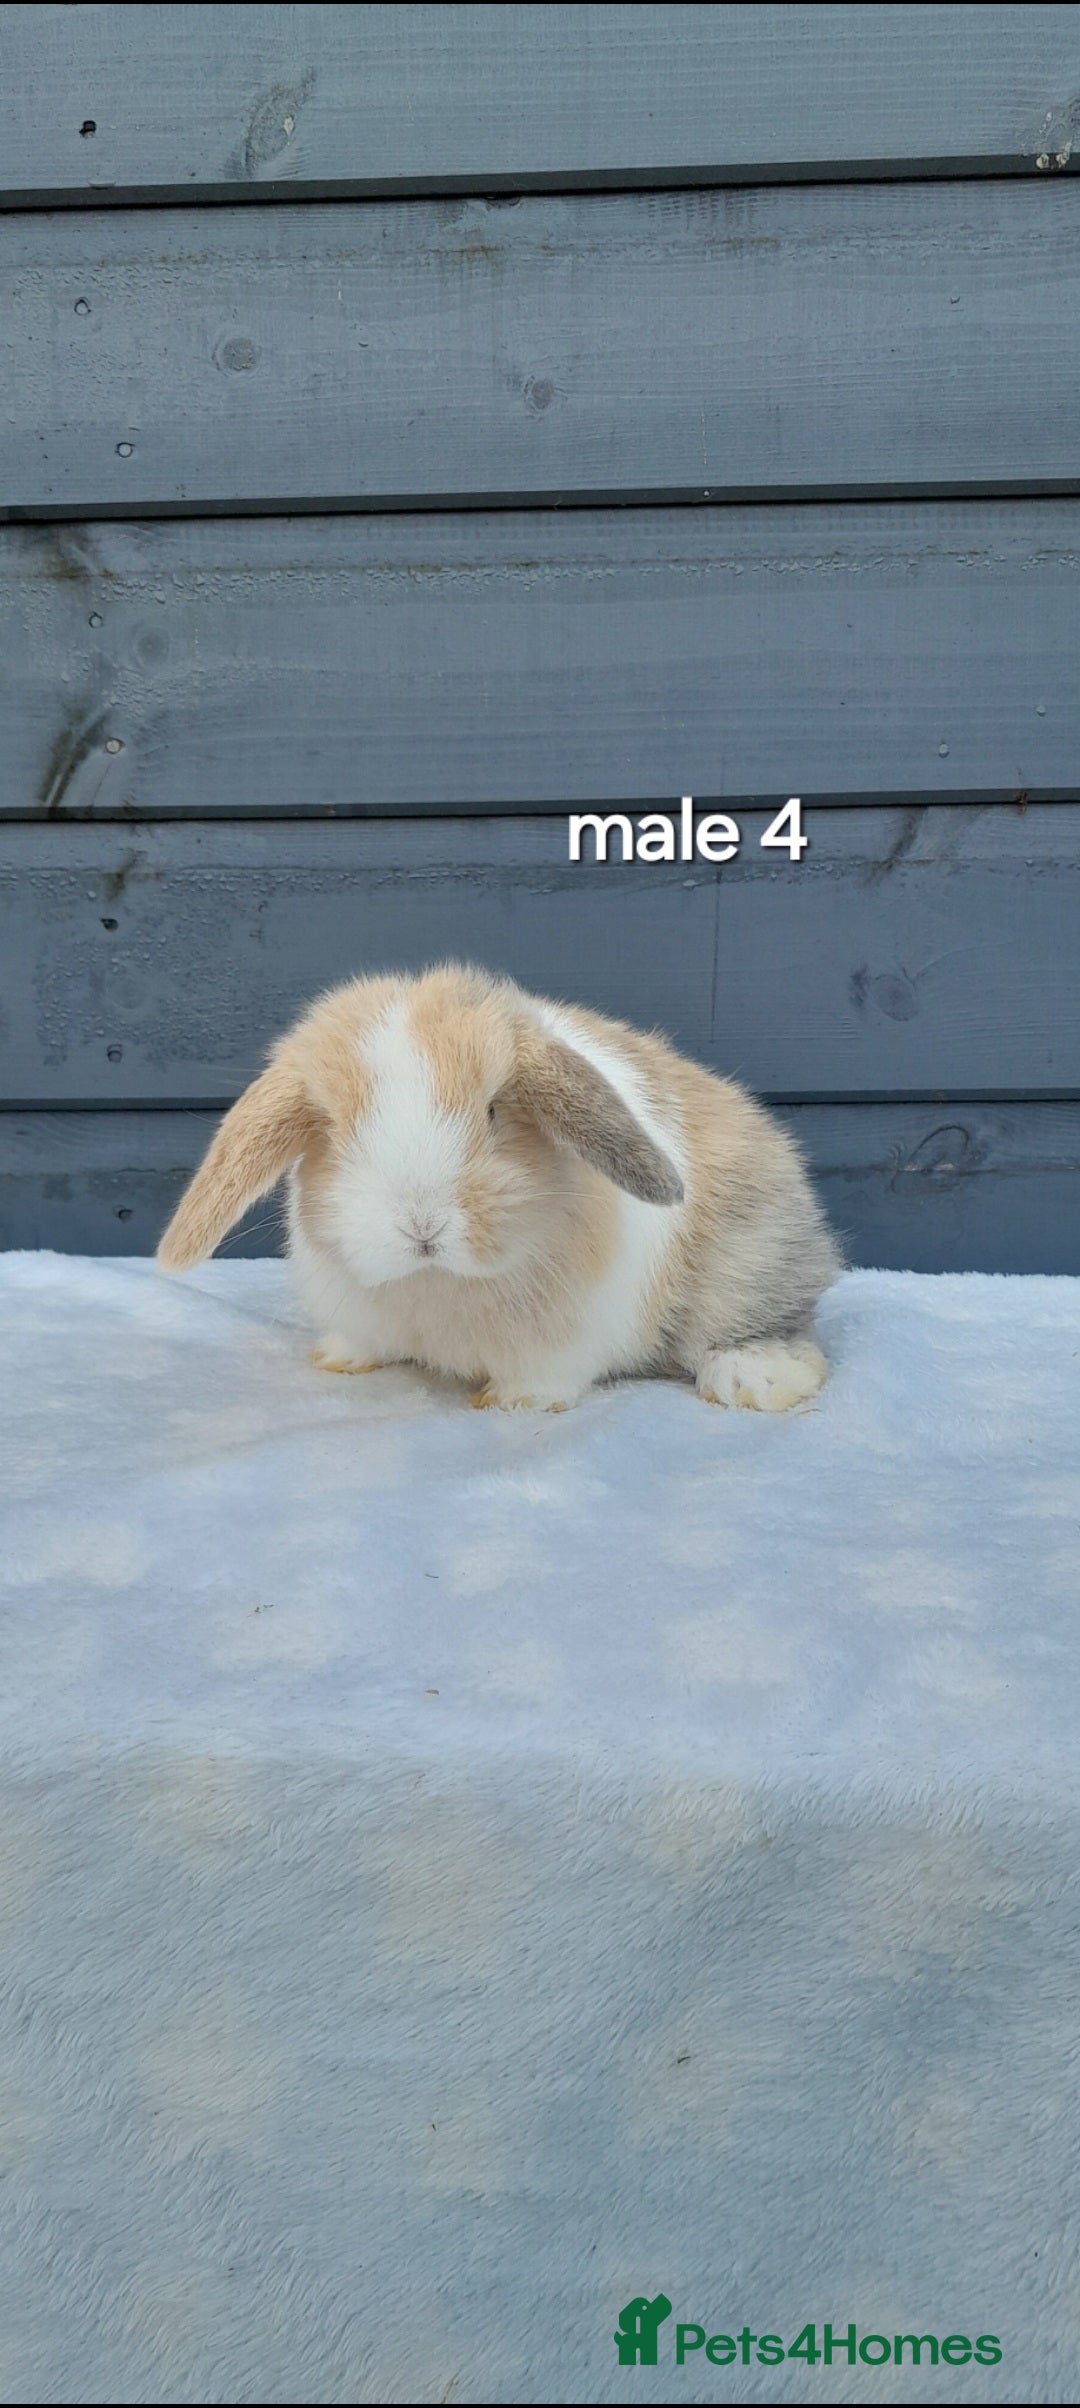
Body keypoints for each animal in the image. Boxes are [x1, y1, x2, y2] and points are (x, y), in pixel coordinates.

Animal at [157, 962, 840, 1412]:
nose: (422, 1228)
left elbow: (546, 1379)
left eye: (492, 1112)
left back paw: (753, 1381)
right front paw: (341, 1360)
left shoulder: (572, 1339)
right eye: (335, 1129)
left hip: (748, 1265)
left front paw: (516, 1403)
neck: (436, 1282)